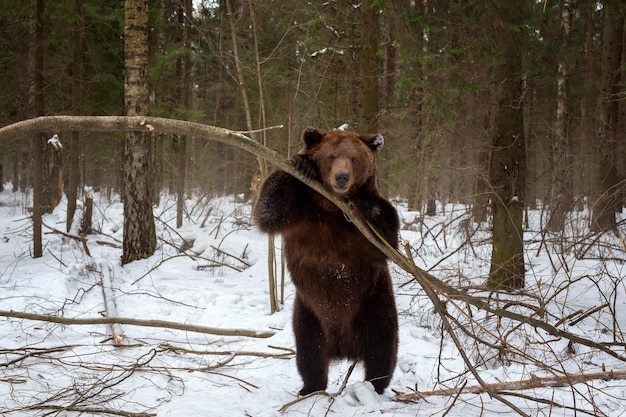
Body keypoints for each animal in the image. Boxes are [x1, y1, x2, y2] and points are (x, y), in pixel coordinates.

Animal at [251, 126, 398, 394]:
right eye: (330, 156)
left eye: (354, 158)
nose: (342, 177)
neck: (331, 207)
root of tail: (343, 348)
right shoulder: (300, 210)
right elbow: (269, 209)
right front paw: (303, 165)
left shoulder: (364, 230)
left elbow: (387, 237)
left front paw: (361, 198)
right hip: (309, 314)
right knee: (310, 353)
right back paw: (311, 387)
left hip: (375, 302)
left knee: (381, 349)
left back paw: (375, 386)